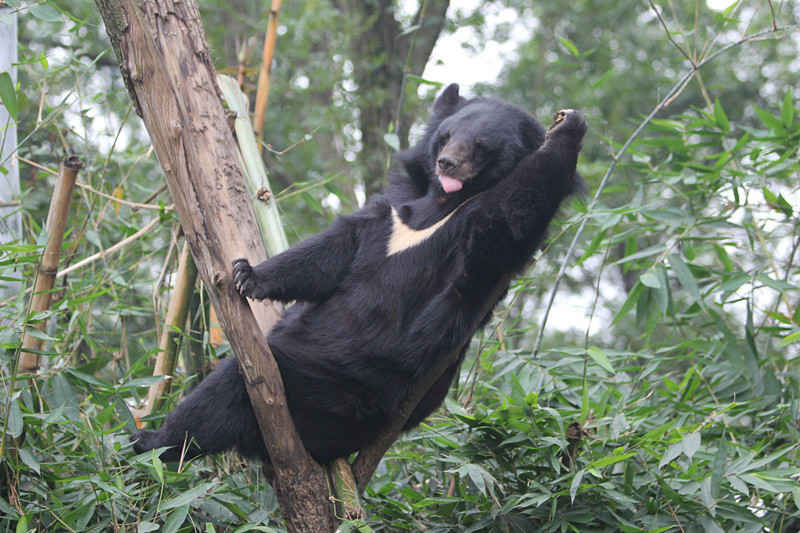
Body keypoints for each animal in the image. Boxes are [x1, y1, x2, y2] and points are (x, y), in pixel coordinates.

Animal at [132, 84, 587, 465]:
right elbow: (335, 249)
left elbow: (510, 215)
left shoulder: (476, 242)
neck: (440, 204)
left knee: (228, 387)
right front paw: (247, 275)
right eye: (446, 136)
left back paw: (153, 442)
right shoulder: (394, 208)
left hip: (338, 390)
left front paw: (571, 126)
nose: (447, 163)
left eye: (480, 146)